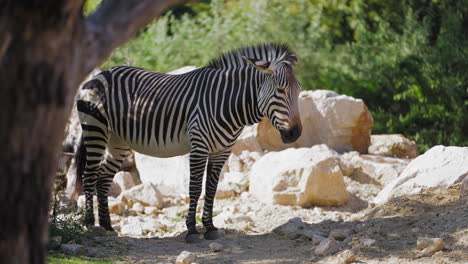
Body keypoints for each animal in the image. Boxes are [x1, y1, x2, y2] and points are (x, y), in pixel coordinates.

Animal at [74, 43, 302, 243]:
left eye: (299, 89)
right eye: (280, 90)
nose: (296, 133)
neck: (227, 103)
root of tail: (101, 73)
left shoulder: (222, 151)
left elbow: (211, 189)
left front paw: (210, 228)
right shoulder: (199, 147)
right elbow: (194, 188)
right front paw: (192, 230)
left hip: (118, 140)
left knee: (103, 177)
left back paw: (107, 227)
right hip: (95, 129)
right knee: (89, 175)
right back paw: (90, 225)